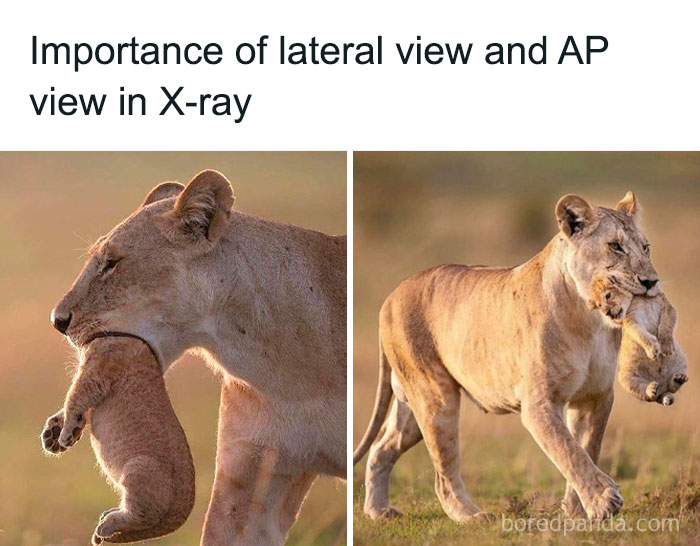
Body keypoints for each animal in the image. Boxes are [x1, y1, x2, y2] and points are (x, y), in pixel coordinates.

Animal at [41, 336, 195, 545]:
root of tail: (186, 504)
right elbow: (78, 409)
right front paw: (54, 436)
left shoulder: (96, 375)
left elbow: (74, 398)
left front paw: (64, 435)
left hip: (138, 468)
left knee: (144, 515)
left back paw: (106, 526)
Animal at [354, 191, 661, 522]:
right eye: (615, 246)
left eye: (646, 247)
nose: (651, 281)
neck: (588, 318)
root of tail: (390, 296)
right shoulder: (539, 403)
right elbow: (568, 450)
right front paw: (603, 501)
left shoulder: (594, 397)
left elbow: (587, 448)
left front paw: (577, 513)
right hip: (436, 398)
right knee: (443, 474)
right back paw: (472, 516)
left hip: (411, 406)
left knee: (382, 447)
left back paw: (378, 511)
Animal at [587, 275, 688, 405]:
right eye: (599, 305)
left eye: (608, 296)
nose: (607, 312)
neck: (644, 297)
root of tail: (661, 388)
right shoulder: (632, 319)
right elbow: (640, 334)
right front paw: (653, 350)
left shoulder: (667, 307)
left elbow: (666, 325)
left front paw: (666, 348)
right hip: (626, 378)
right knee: (647, 395)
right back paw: (652, 389)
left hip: (682, 363)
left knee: (672, 387)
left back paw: (678, 379)